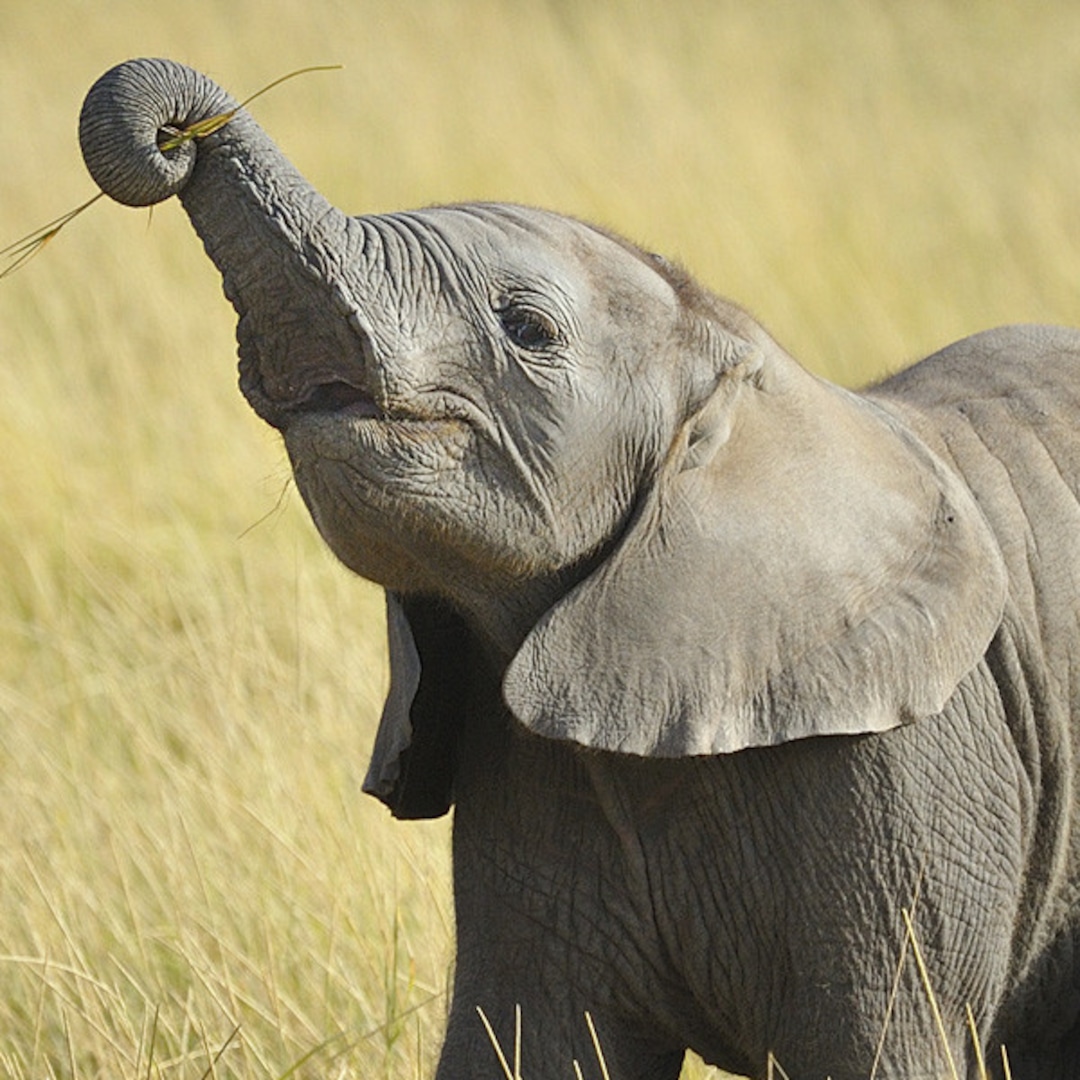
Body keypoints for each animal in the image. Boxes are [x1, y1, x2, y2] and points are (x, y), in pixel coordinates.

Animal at [77, 58, 1080, 1079]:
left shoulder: (906, 768)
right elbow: (533, 1037)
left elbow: (877, 1044)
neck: (751, 364)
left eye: (526, 328)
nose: (175, 136)